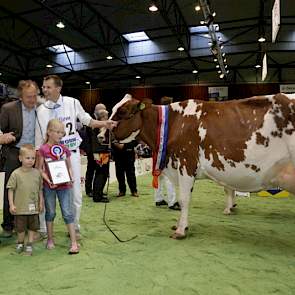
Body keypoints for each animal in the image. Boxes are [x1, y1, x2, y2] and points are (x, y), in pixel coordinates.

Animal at [110, 93, 295, 239]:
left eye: (122, 112)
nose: (104, 133)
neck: (174, 123)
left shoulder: (186, 163)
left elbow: (185, 199)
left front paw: (180, 230)